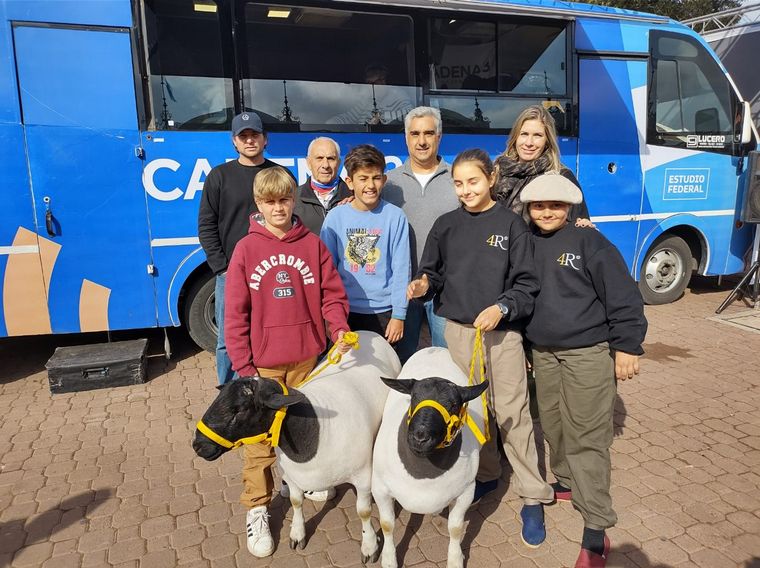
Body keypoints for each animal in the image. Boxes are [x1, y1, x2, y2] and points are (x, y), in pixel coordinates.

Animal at [193, 330, 400, 560]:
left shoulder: (363, 478)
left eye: (238, 409)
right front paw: (297, 534)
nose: (198, 445)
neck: (316, 429)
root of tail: (367, 332)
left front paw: (369, 546)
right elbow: (295, 501)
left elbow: (363, 512)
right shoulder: (291, 476)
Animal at [372, 346, 486, 568]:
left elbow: (456, 528)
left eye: (453, 405)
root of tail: (436, 348)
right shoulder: (380, 488)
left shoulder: (466, 492)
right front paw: (389, 560)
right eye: (413, 397)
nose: (420, 436)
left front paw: (455, 560)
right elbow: (387, 525)